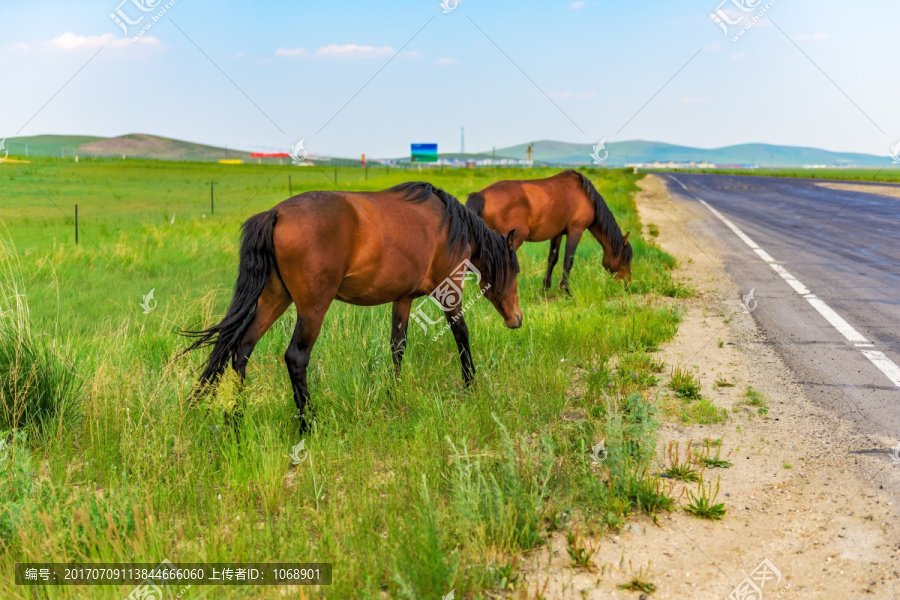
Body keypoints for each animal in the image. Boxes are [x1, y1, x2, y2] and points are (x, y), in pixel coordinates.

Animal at [182, 180, 520, 428]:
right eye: (515, 271)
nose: (516, 319)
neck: (450, 224)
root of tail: (276, 214)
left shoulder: (403, 299)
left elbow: (398, 346)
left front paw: (394, 393)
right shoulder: (450, 292)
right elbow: (462, 335)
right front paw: (470, 385)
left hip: (274, 300)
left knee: (243, 348)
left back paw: (235, 419)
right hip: (312, 309)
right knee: (295, 358)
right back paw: (307, 424)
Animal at [464, 170, 632, 294]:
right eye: (626, 258)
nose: (628, 284)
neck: (584, 194)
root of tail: (480, 195)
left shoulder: (557, 234)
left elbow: (553, 259)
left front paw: (546, 286)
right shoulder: (575, 230)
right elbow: (568, 260)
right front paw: (566, 290)